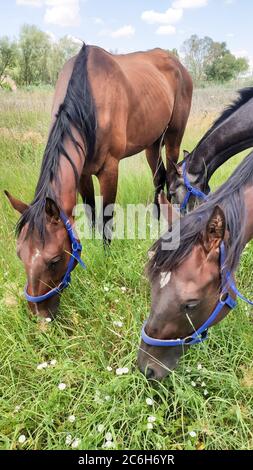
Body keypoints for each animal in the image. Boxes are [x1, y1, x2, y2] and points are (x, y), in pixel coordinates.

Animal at [4, 44, 192, 318]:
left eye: (54, 260)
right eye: (20, 254)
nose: (40, 315)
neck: (89, 99)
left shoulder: (109, 170)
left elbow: (105, 217)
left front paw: (106, 257)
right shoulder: (82, 172)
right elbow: (91, 212)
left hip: (173, 136)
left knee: (169, 175)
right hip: (152, 141)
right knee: (157, 176)